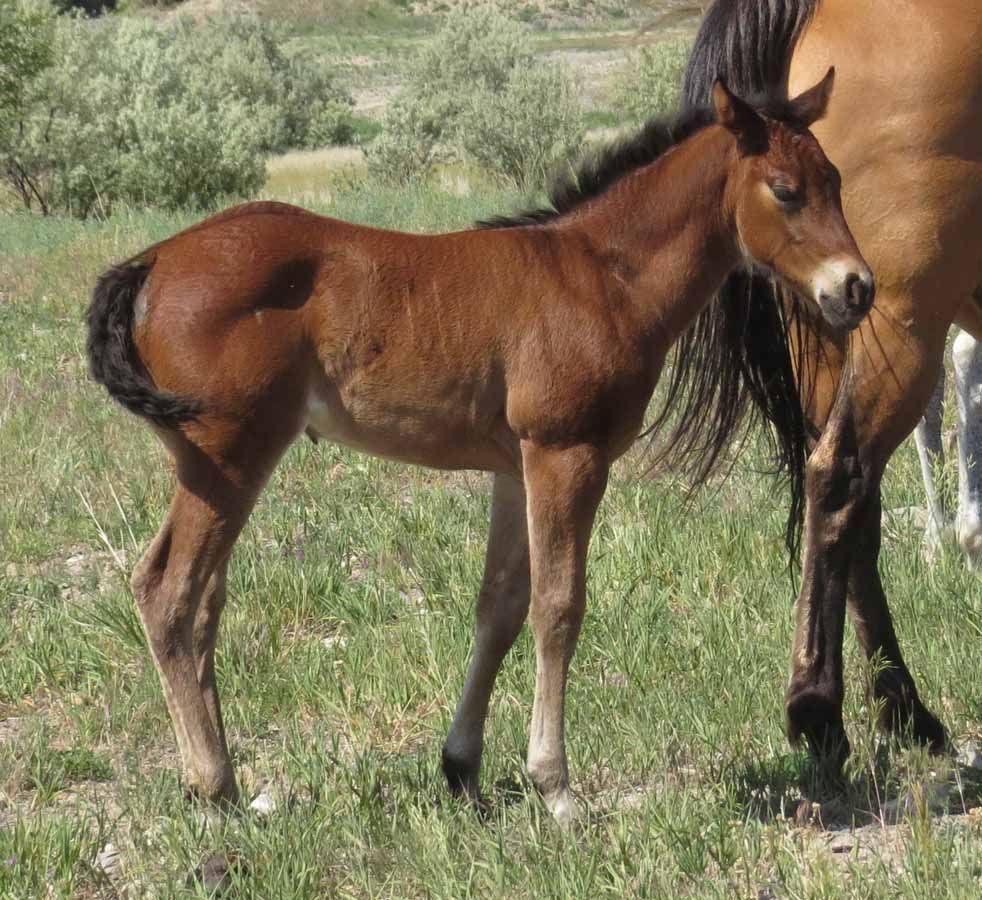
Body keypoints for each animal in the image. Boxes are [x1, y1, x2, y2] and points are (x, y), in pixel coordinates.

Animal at [86, 75, 871, 824]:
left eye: (836, 179)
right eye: (786, 190)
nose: (856, 288)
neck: (602, 277)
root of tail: (151, 261)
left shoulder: (514, 469)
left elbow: (500, 606)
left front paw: (461, 768)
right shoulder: (566, 454)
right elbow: (558, 607)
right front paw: (555, 787)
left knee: (204, 603)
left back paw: (222, 780)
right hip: (227, 457)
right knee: (167, 591)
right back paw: (213, 786)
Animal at [673, 0, 982, 787]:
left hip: (827, 321)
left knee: (851, 499)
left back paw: (903, 712)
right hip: (895, 319)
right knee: (840, 476)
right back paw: (819, 710)